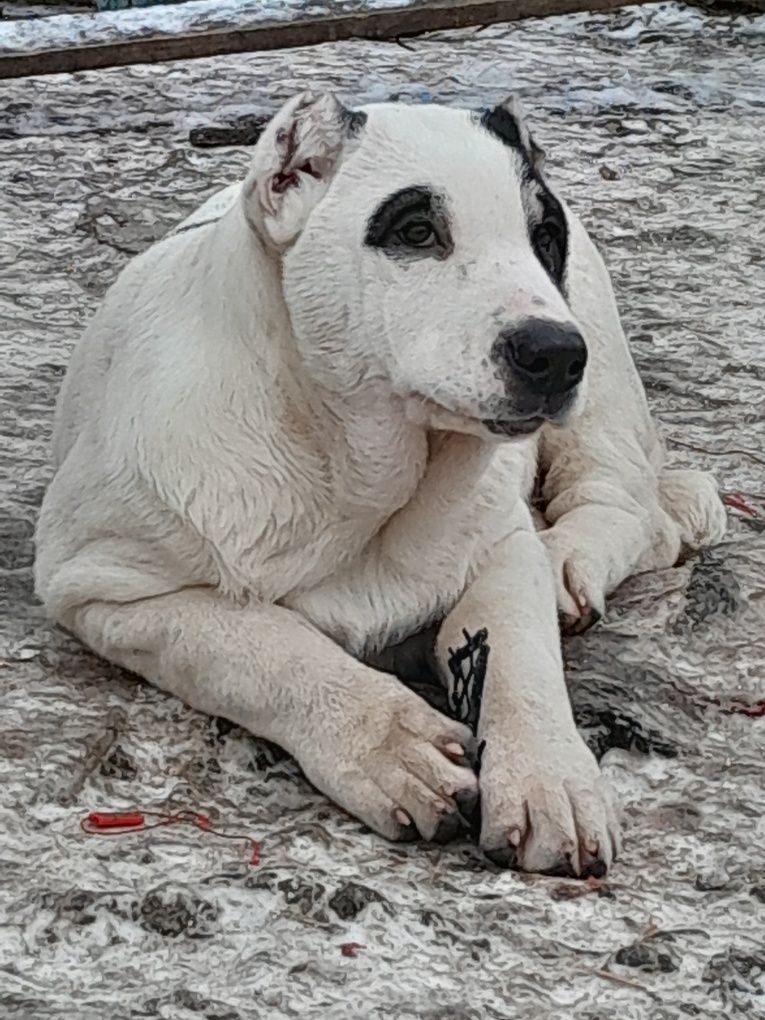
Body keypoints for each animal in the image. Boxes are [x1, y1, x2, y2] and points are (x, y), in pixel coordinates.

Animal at [35, 93, 726, 877]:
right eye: (416, 232)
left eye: (544, 237)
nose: (553, 354)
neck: (350, 465)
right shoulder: (107, 586)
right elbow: (256, 643)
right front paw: (389, 742)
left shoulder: (502, 547)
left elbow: (519, 655)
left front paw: (551, 775)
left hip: (601, 361)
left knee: (626, 504)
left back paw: (569, 561)